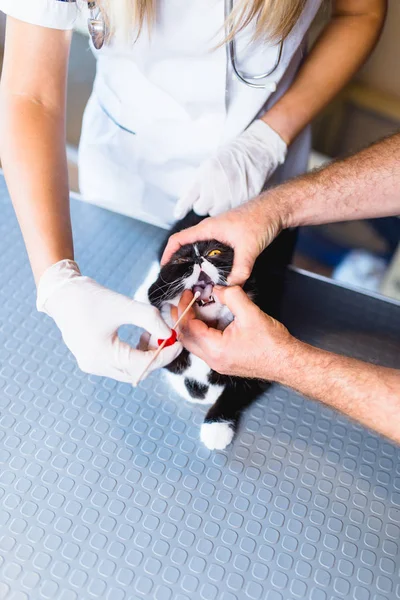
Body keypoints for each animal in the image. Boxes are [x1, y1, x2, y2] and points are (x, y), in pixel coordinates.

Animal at [136, 211, 296, 450]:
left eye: (215, 252)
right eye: (180, 261)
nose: (198, 260)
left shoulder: (266, 360)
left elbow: (235, 392)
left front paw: (216, 427)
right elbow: (181, 374)